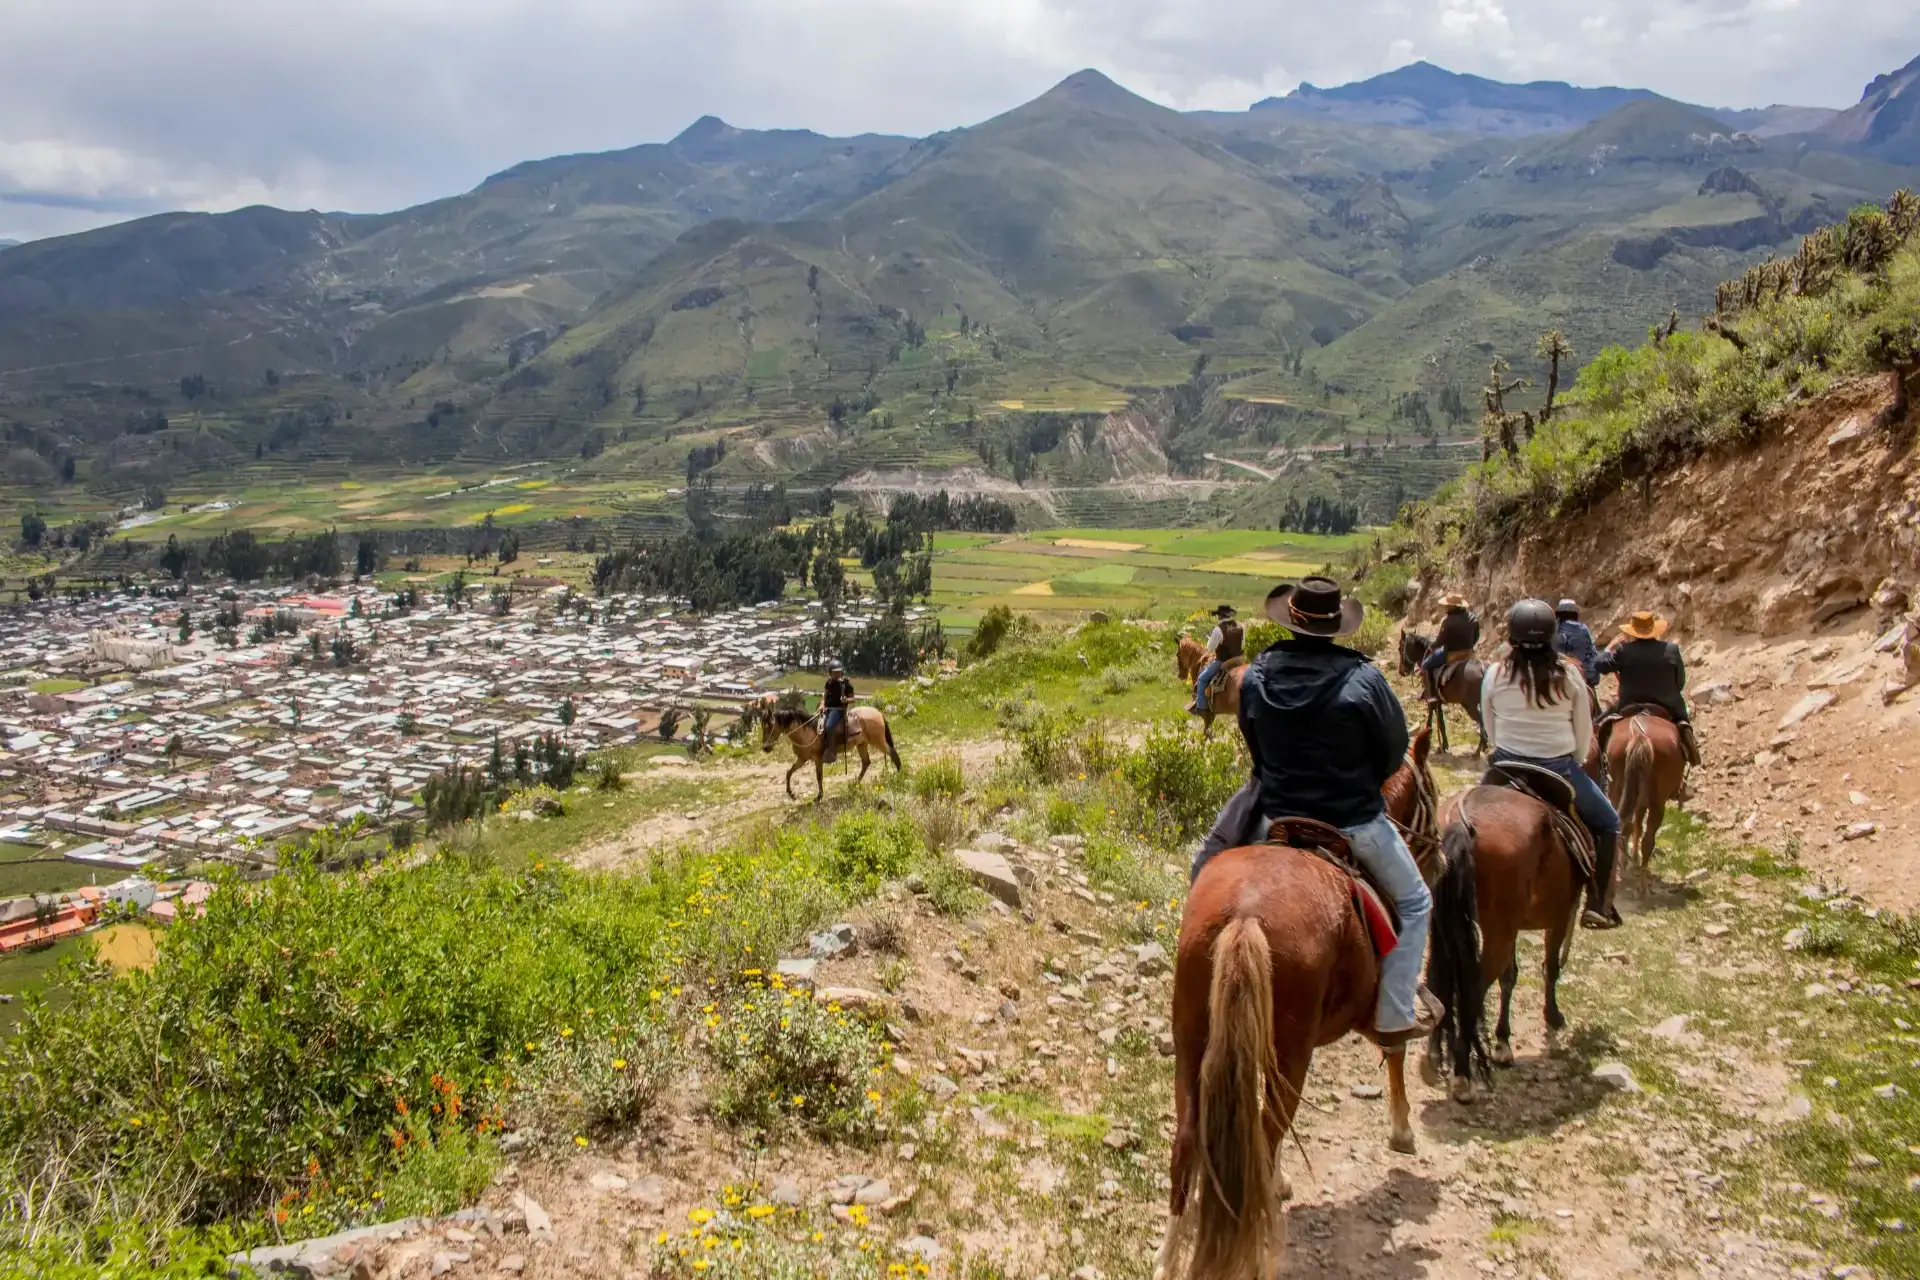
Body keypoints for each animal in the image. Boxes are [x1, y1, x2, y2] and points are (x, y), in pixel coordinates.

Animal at [759, 703, 902, 800]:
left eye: (769, 726)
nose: (765, 748)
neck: (806, 732)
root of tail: (878, 713)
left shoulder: (817, 759)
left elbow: (818, 777)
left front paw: (819, 796)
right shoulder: (802, 758)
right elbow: (789, 772)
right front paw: (791, 793)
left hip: (878, 741)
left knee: (893, 753)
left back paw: (900, 774)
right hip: (862, 744)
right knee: (866, 762)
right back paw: (855, 784)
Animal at [1156, 728, 1459, 1280]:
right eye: (1432, 790)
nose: (1440, 863)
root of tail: (1245, 914)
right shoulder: (1377, 1005)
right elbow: (1396, 1045)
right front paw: (1402, 1131)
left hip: (1191, 1035)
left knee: (1187, 1142)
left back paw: (1169, 1257)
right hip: (1292, 1053)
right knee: (1264, 1134)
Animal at [1607, 713, 1685, 873]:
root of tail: (1639, 735)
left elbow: (1636, 826)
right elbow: (1638, 827)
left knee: (1625, 828)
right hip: (1656, 802)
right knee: (1646, 838)